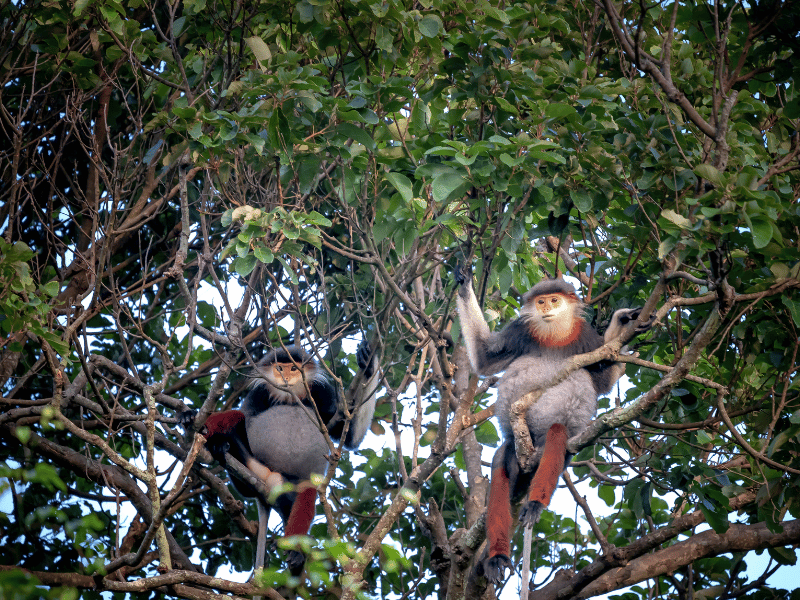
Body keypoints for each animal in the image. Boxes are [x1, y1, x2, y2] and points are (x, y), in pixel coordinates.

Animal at [182, 341, 379, 576]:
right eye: (279, 367)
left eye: (294, 368)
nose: (286, 375)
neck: (291, 396)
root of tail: (269, 479)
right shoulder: (259, 393)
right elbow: (246, 414)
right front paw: (189, 416)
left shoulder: (324, 394)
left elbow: (350, 438)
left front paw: (368, 364)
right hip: (254, 469)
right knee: (238, 419)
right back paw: (217, 443)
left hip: (288, 484)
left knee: (306, 495)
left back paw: (296, 553)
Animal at [454, 268, 647, 585]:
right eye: (541, 301)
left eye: (555, 300)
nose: (547, 308)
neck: (555, 336)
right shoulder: (521, 331)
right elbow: (483, 358)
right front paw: (463, 281)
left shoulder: (585, 337)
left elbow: (603, 382)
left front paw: (623, 320)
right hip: (518, 444)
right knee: (502, 462)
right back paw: (496, 558)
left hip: (557, 439)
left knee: (558, 434)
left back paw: (535, 504)